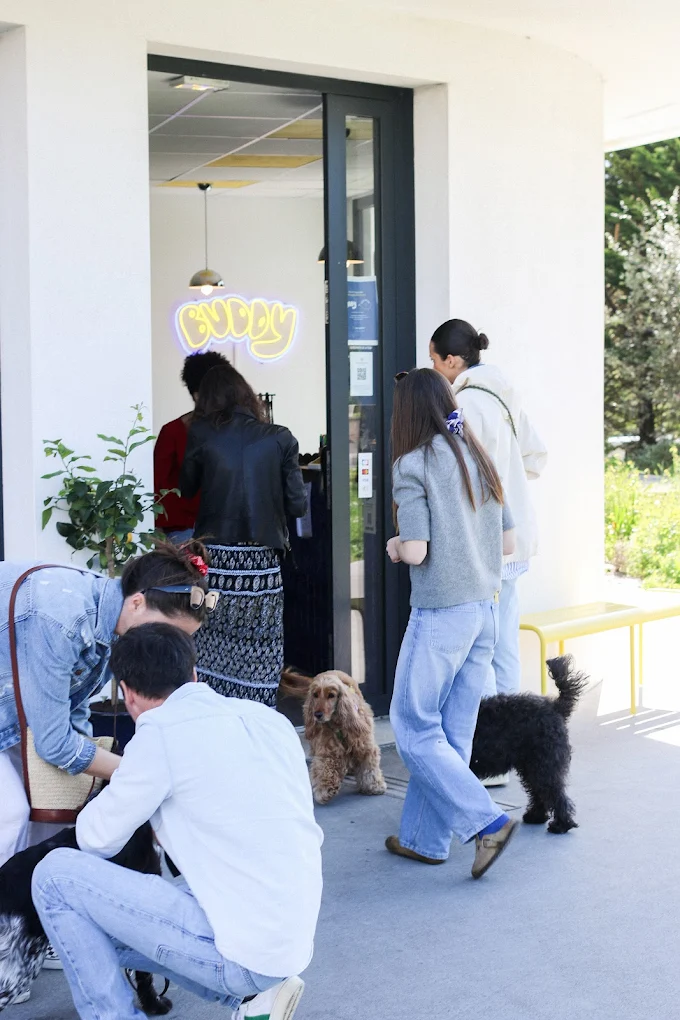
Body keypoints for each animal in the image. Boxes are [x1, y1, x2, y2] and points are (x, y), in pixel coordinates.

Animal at [282, 669, 387, 805]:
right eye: (315, 695)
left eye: (331, 695)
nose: (317, 714)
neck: (339, 725)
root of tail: (331, 671)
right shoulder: (327, 751)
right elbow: (325, 769)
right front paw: (324, 791)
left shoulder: (365, 746)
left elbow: (369, 767)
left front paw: (374, 786)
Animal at [471, 655, 588, 833]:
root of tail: (554, 707)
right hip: (531, 765)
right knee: (539, 792)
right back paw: (536, 816)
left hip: (544, 764)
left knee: (554, 792)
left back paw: (561, 824)